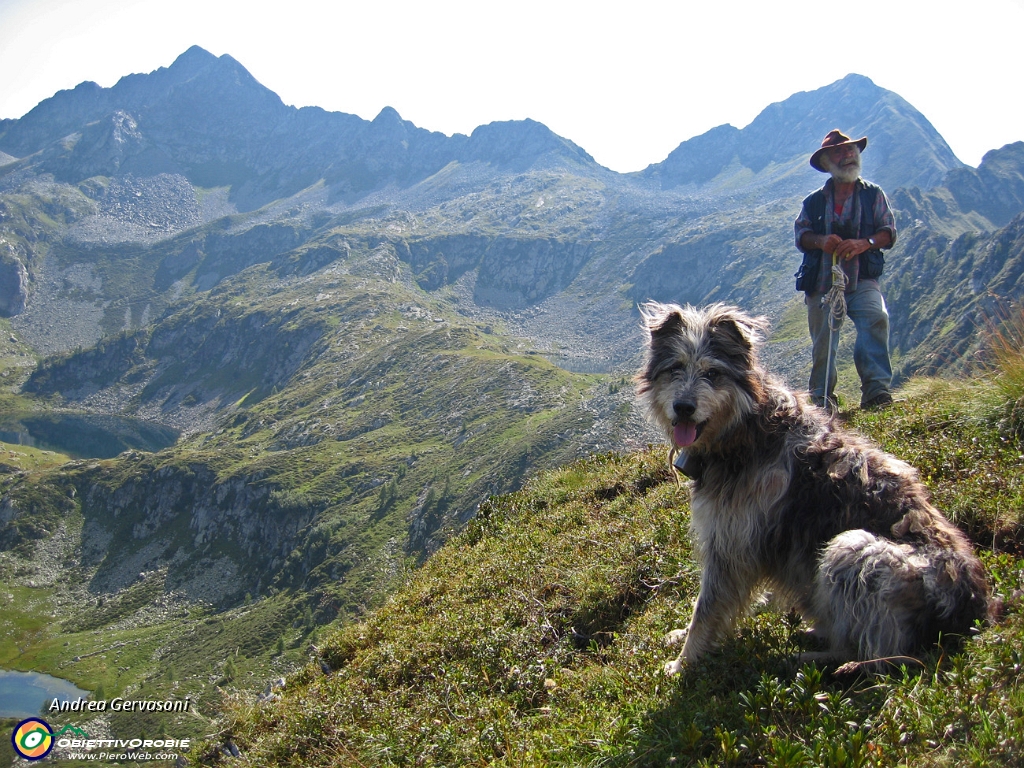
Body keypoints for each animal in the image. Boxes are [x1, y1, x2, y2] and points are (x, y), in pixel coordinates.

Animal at [630, 303, 991, 675]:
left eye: (713, 373)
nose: (683, 407)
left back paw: (815, 658)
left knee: (879, 652)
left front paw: (683, 662)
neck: (745, 428)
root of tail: (971, 611)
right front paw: (682, 640)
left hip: (854, 549)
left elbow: (708, 607)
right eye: (675, 368)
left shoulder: (731, 542)